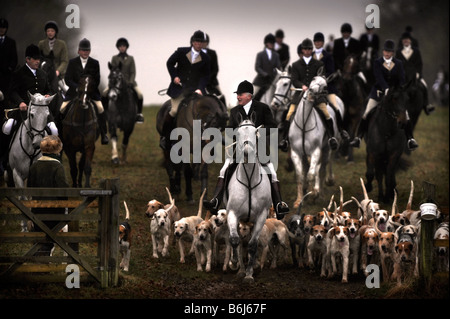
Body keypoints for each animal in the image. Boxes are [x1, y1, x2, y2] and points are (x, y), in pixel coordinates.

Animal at [224, 118, 270, 282]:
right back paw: (240, 269)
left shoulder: (261, 216)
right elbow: (235, 240)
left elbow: (252, 245)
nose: (246, 152)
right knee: (239, 242)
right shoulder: (232, 213)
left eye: (255, 132)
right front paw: (234, 263)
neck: (249, 179)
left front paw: (250, 274)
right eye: (237, 133)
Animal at [286, 76, 346, 209]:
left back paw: (322, 192)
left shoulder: (315, 151)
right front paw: (299, 200)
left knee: (323, 168)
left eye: (325, 86)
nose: (312, 91)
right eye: (313, 79)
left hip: (329, 147)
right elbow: (300, 176)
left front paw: (313, 194)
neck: (303, 123)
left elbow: (311, 174)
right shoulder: (296, 152)